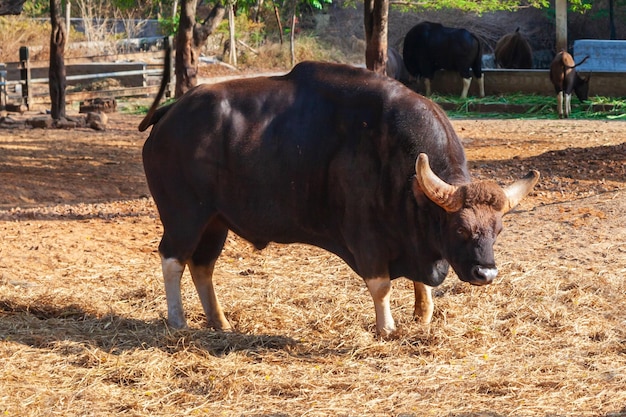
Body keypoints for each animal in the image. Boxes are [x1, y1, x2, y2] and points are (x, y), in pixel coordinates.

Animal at [139, 45, 540, 338]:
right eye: (460, 228)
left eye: (498, 230)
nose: (486, 273)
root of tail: (170, 114)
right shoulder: (366, 238)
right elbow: (381, 286)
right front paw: (387, 328)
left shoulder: (414, 237)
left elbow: (420, 281)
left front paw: (423, 315)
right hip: (184, 215)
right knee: (173, 259)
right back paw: (178, 321)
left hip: (215, 221)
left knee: (202, 265)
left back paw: (220, 322)